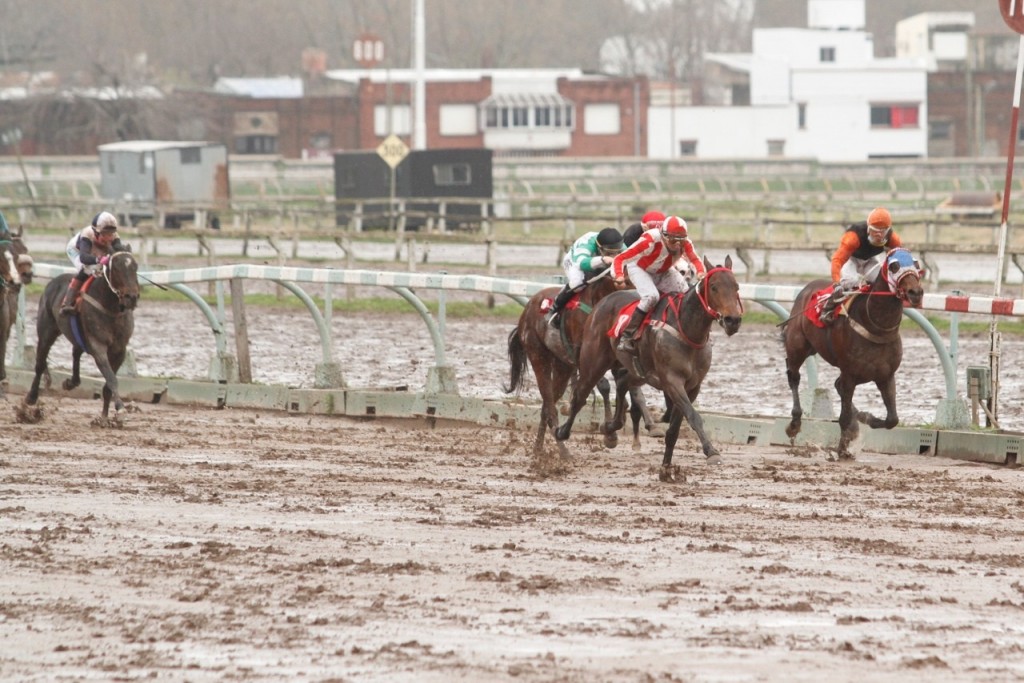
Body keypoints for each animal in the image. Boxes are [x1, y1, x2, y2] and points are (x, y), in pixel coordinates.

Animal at [20, 251, 140, 426]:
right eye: (117, 268)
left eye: (135, 267)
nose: (132, 297)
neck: (110, 308)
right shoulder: (98, 346)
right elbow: (111, 379)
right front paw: (120, 409)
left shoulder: (120, 350)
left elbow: (108, 384)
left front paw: (104, 418)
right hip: (46, 332)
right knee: (40, 364)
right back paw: (31, 397)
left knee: (75, 353)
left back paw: (71, 382)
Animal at [505, 271, 662, 459]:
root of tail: (527, 309)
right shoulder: (586, 358)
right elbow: (604, 386)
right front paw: (611, 435)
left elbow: (628, 388)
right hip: (538, 355)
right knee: (549, 405)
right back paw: (563, 450)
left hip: (562, 366)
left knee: (547, 404)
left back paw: (539, 447)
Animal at [555, 256, 744, 481]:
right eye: (714, 287)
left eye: (736, 287)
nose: (733, 320)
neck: (687, 330)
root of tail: (604, 300)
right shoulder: (672, 381)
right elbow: (694, 416)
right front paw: (712, 452)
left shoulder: (693, 386)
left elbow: (674, 430)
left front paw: (666, 470)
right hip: (594, 361)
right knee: (580, 396)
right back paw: (562, 433)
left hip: (639, 371)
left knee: (622, 382)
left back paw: (610, 428)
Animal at [779, 247, 924, 459]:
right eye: (894, 266)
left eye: (916, 264)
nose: (916, 292)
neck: (876, 326)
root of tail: (808, 287)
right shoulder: (850, 373)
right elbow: (844, 416)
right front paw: (843, 449)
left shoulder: (885, 375)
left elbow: (892, 419)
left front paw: (865, 418)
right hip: (797, 347)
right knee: (794, 377)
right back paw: (794, 424)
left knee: (836, 385)